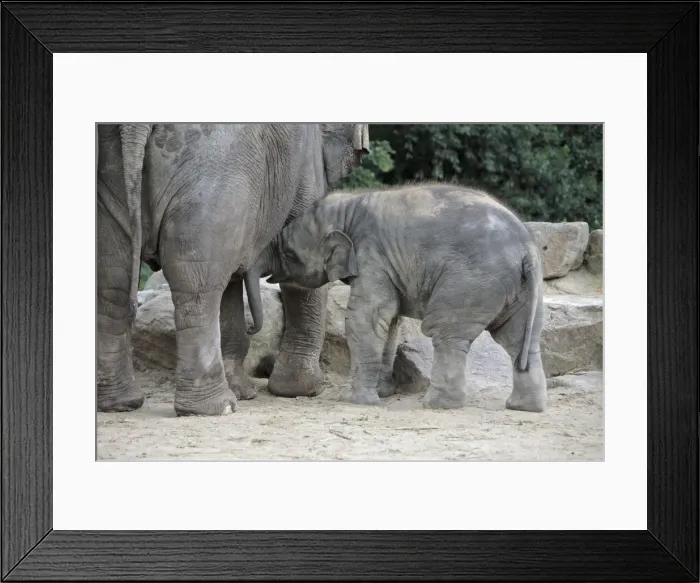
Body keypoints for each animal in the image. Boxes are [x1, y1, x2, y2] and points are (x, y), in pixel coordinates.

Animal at [97, 123, 369, 416]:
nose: (253, 328)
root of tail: (133, 126)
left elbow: (229, 279)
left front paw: (246, 390)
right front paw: (305, 389)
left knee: (113, 280)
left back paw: (121, 404)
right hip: (215, 168)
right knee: (195, 285)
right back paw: (216, 407)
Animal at [249, 184, 547, 412]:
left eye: (289, 254)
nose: (251, 328)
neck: (349, 206)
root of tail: (528, 249)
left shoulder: (372, 255)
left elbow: (364, 317)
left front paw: (355, 401)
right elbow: (390, 321)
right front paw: (383, 393)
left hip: (471, 283)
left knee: (446, 333)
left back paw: (437, 404)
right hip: (520, 289)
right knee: (520, 339)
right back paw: (522, 407)